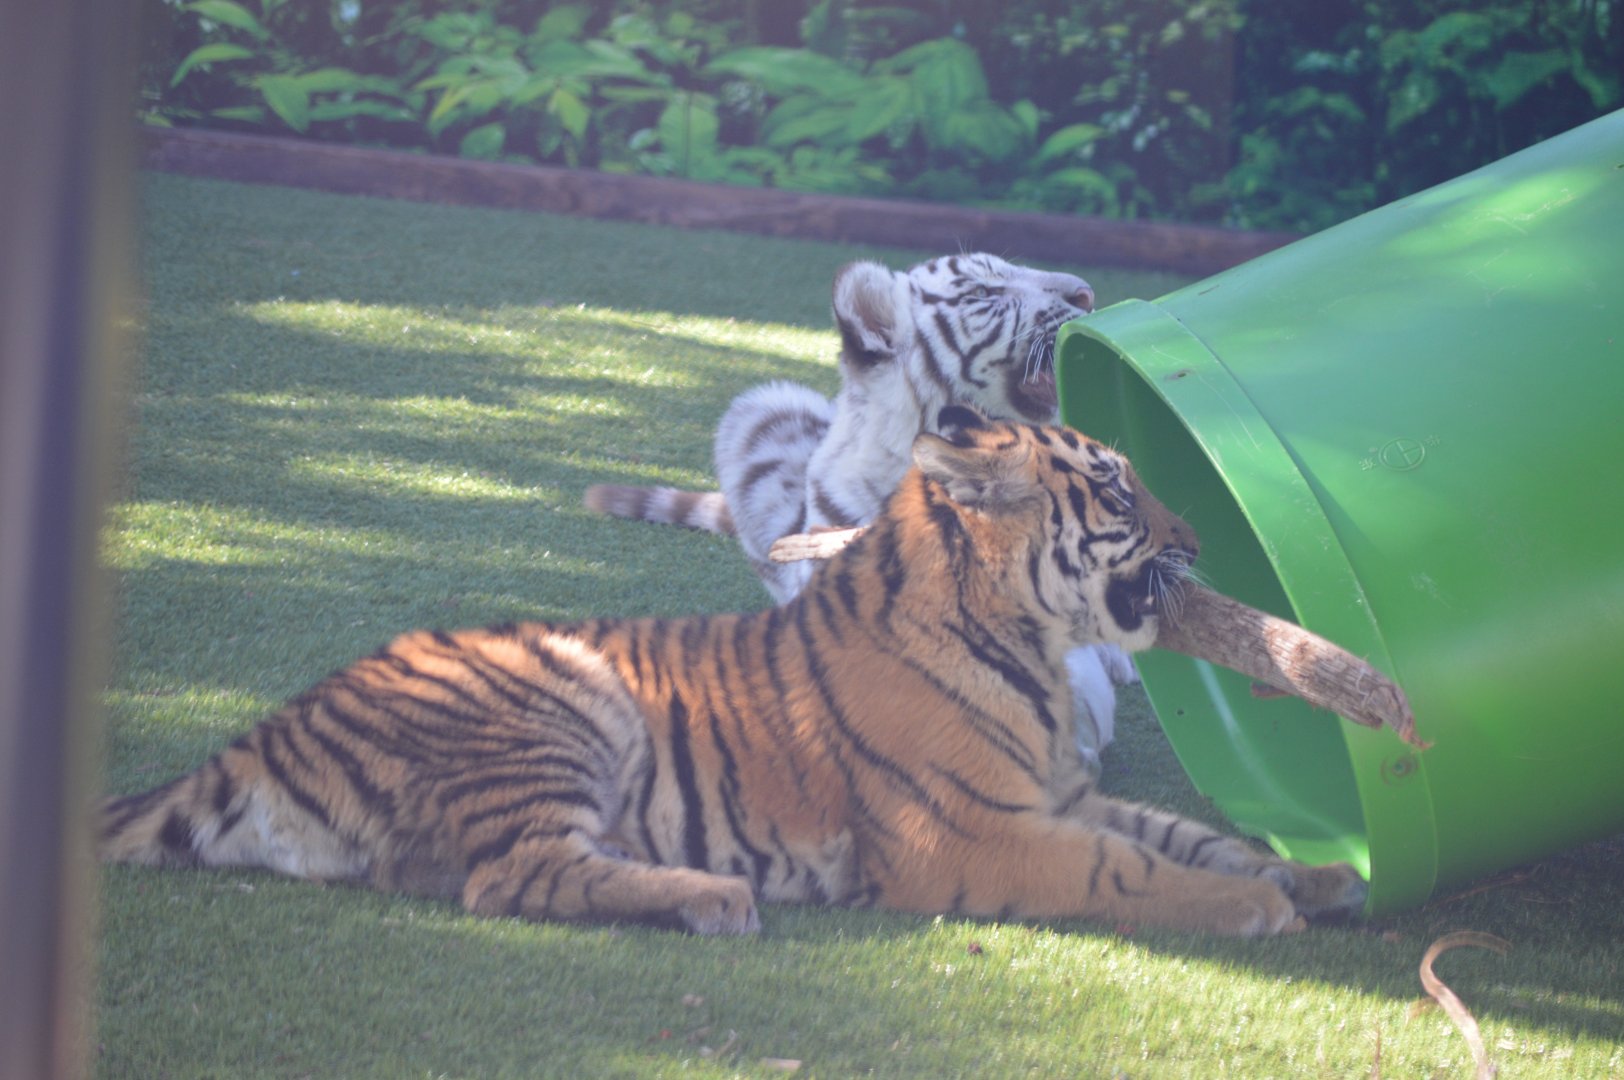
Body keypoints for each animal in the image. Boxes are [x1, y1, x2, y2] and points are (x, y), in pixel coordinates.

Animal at [101, 409, 1367, 937]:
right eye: (1113, 489)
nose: (1198, 538)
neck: (1036, 654)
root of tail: (263, 730)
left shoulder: (1059, 793)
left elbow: (1188, 835)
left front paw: (1311, 877)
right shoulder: (972, 833)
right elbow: (1129, 870)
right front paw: (1254, 907)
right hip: (560, 700)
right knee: (511, 880)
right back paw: (711, 898)